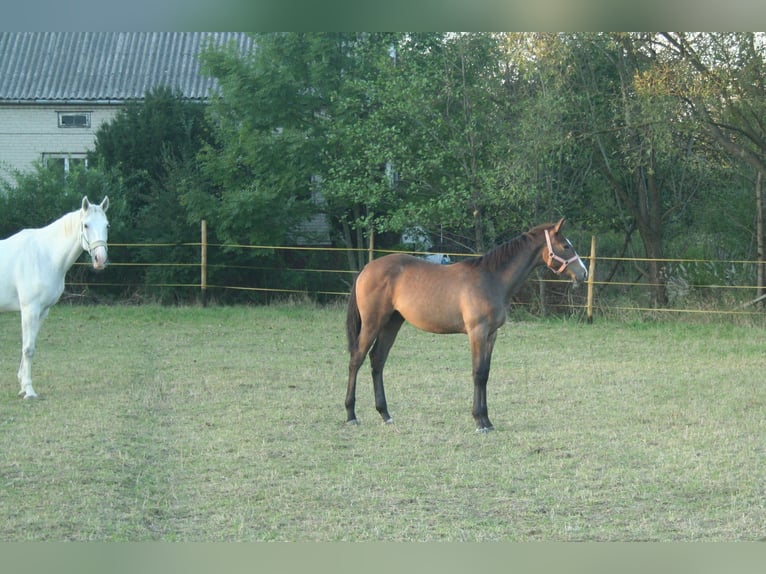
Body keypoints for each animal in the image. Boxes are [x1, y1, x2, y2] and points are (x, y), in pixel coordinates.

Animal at [0, 196, 109, 398]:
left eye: (107, 225)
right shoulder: (30, 309)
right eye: (86, 225)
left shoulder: (42, 311)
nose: (100, 260)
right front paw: (29, 391)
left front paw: (22, 386)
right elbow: (28, 349)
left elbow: (29, 344)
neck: (45, 256)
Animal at [344, 219, 592, 432]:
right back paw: (351, 414)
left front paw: (487, 420)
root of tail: (366, 268)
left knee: (377, 360)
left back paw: (385, 414)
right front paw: (479, 421)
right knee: (357, 359)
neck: (492, 278)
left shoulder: (491, 335)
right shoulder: (477, 333)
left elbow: (486, 373)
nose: (583, 273)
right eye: (566, 246)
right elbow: (477, 373)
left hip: (392, 323)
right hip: (373, 323)